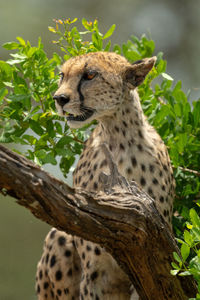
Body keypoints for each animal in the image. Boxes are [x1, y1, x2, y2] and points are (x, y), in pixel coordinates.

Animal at [35, 52, 175, 300]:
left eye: (90, 75)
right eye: (62, 75)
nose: (59, 98)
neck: (120, 137)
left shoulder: (147, 266)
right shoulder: (96, 274)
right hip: (58, 236)